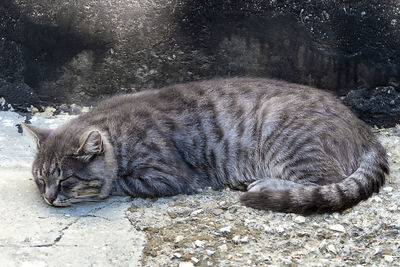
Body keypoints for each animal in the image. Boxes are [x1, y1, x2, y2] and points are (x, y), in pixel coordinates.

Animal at [21, 78, 388, 216]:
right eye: (40, 180)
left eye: (65, 180)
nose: (48, 197)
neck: (116, 132)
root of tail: (364, 129)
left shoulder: (165, 176)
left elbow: (116, 183)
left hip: (287, 135)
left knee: (323, 180)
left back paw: (261, 183)